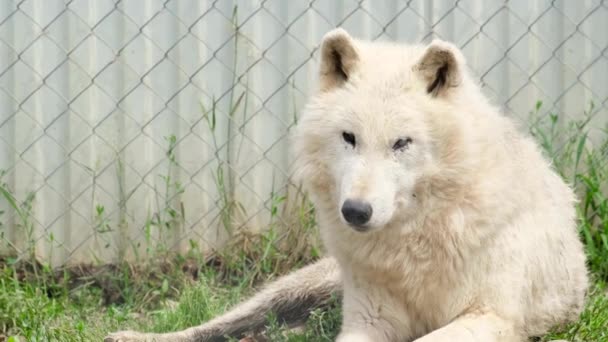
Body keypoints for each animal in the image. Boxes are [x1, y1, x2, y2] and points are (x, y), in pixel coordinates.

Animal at [105, 29, 588, 342]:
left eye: (401, 143)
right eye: (349, 138)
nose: (355, 211)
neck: (415, 242)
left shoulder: (491, 316)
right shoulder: (368, 320)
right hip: (293, 291)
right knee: (218, 327)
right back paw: (135, 336)